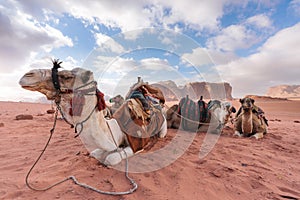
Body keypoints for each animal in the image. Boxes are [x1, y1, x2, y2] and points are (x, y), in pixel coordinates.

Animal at [19, 60, 168, 166]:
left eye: (66, 76)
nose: (27, 75)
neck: (115, 129)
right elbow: (96, 153)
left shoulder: (138, 144)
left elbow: (110, 159)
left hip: (163, 128)